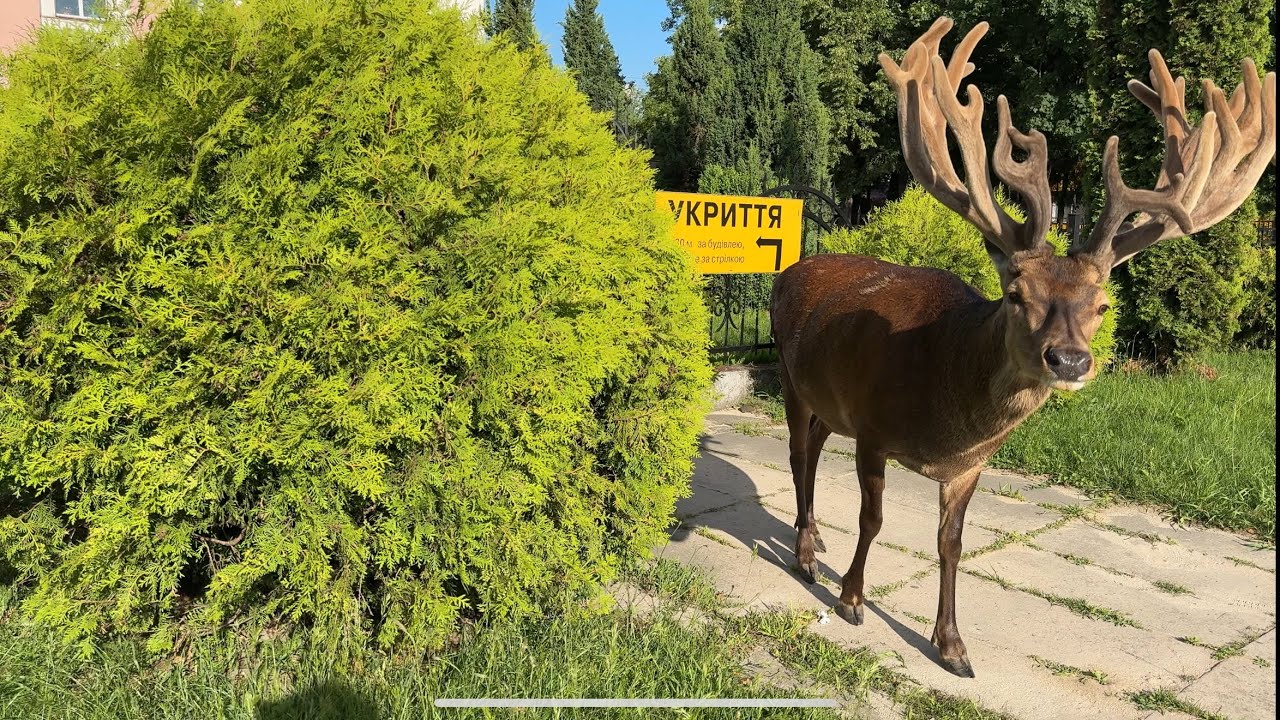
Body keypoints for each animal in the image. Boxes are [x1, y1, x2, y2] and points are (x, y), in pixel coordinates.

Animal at [769, 16, 1275, 678]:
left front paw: (953, 646)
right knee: (799, 456)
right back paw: (805, 553)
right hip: (791, 377)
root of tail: (791, 269)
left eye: (1102, 306)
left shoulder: (968, 464)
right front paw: (852, 599)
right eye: (1015, 293)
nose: (1070, 360)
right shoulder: (874, 428)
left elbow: (951, 544)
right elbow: (872, 519)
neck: (945, 410)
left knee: (813, 453)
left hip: (830, 404)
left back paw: (814, 538)